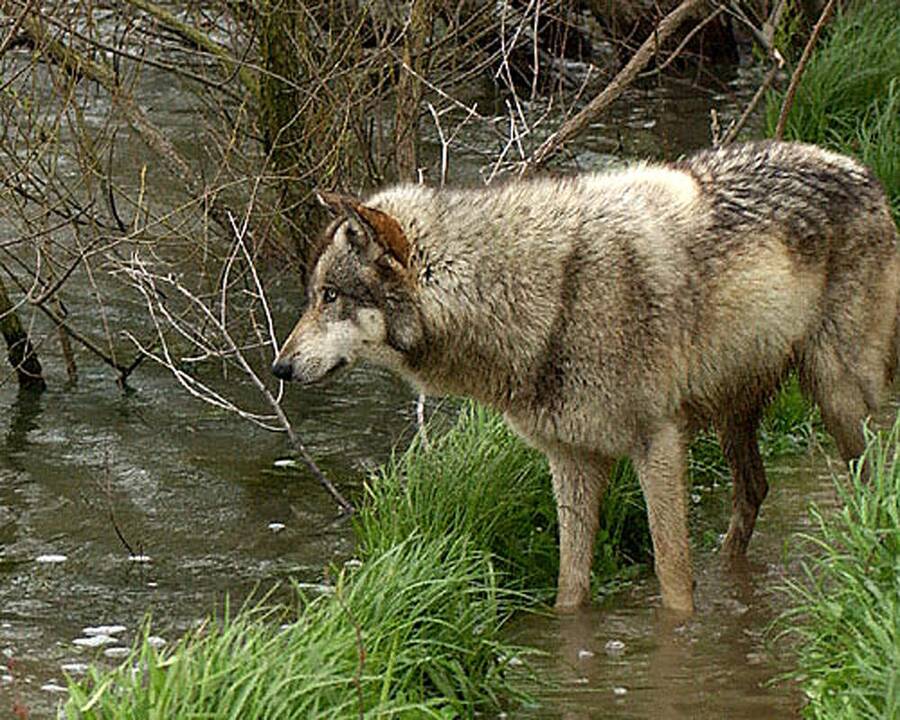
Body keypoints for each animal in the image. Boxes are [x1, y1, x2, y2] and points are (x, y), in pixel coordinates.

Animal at [272, 141, 900, 612]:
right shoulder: (571, 459)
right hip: (735, 415)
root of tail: (864, 172)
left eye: (330, 296)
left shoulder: (658, 445)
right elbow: (570, 587)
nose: (279, 366)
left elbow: (673, 577)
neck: (547, 295)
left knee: (873, 475)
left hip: (838, 396)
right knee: (755, 489)